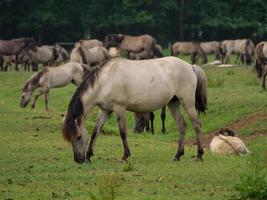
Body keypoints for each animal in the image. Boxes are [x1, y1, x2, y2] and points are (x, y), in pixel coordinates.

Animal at [63, 57, 209, 163]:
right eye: (70, 138)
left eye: (78, 136)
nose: (78, 159)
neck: (105, 81)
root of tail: (191, 66)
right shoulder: (105, 110)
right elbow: (95, 132)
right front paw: (89, 156)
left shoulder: (119, 108)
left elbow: (122, 132)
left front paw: (125, 156)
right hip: (173, 103)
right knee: (182, 125)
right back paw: (177, 155)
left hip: (187, 102)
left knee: (196, 124)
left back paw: (199, 155)